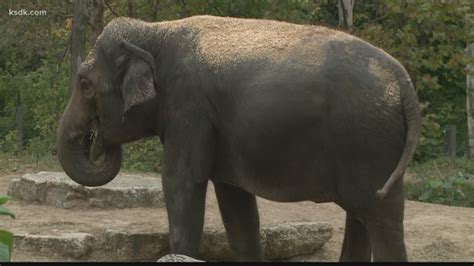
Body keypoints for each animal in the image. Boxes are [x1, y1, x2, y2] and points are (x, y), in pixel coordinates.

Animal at [56, 15, 422, 262]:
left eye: (85, 84)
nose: (98, 140)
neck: (157, 31)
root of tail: (403, 80)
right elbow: (235, 205)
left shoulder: (190, 109)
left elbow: (181, 182)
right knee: (361, 216)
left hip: (371, 143)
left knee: (382, 218)